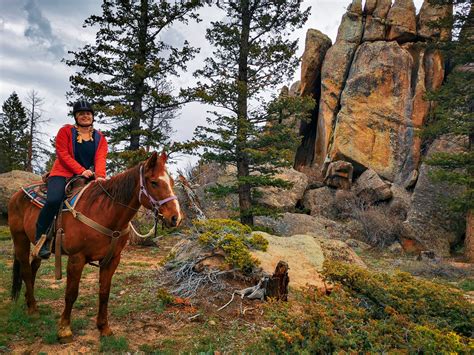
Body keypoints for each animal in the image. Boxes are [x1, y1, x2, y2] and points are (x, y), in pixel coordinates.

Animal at [7, 152, 181, 342]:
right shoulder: (76, 258)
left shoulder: (112, 260)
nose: (175, 217)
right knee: (25, 271)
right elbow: (71, 293)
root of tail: (17, 194)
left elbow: (104, 292)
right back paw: (32, 308)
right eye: (154, 182)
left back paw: (29, 302)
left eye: (172, 182)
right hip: (20, 239)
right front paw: (64, 329)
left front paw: (104, 328)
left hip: (39, 247)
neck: (105, 213)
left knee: (33, 268)